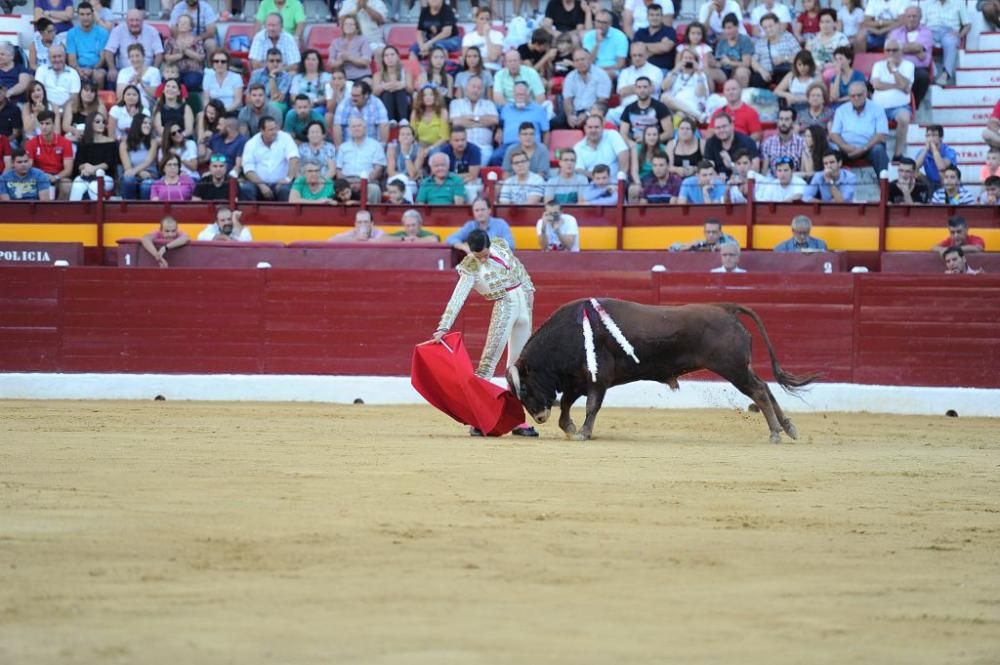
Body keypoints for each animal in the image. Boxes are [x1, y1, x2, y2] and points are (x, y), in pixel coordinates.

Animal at [508, 300, 820, 444]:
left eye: (524, 387)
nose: (539, 417)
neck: (569, 333)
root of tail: (725, 309)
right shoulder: (577, 380)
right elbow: (567, 405)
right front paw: (572, 428)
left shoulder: (598, 379)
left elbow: (590, 406)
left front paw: (583, 432)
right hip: (742, 367)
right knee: (765, 388)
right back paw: (788, 428)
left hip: (733, 368)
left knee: (758, 391)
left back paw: (776, 433)